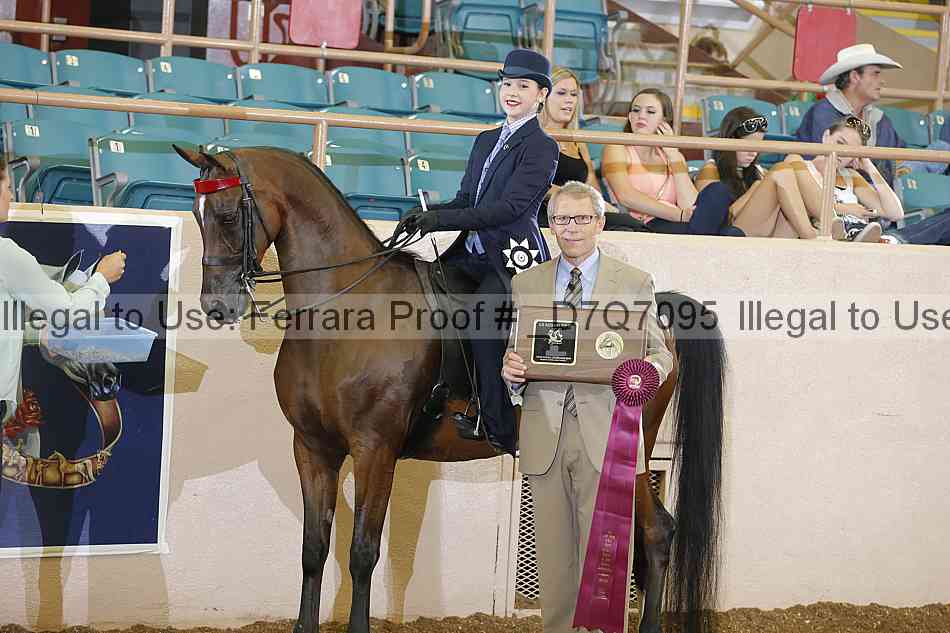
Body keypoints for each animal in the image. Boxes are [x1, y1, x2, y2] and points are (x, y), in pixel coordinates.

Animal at [174, 146, 725, 633]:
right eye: (197, 216)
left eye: (227, 214)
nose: (217, 305)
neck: (347, 313)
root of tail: (655, 312)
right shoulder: (312, 448)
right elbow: (314, 550)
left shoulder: (376, 449)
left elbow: (362, 553)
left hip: (621, 450)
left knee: (655, 533)